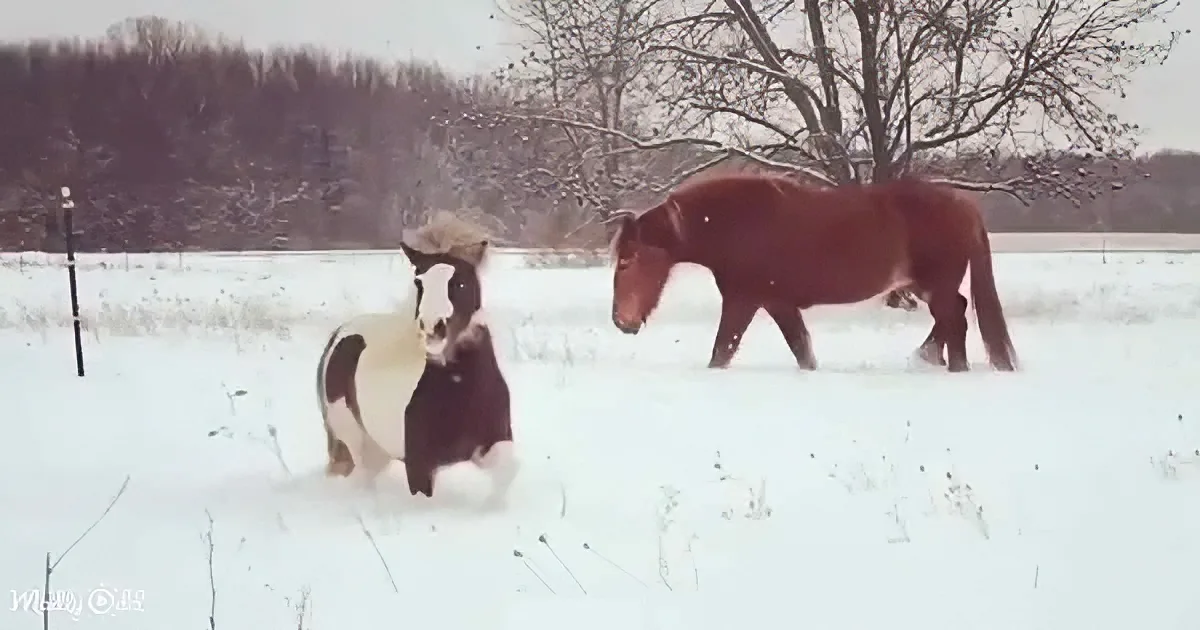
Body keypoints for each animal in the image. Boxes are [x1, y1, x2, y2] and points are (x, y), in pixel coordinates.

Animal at [316, 211, 517, 503]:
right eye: (419, 282)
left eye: (460, 282)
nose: (432, 326)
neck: (458, 386)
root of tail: (340, 333)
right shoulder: (418, 463)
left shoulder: (492, 442)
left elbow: (507, 475)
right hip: (352, 433)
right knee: (361, 475)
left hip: (377, 446)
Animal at [606, 172, 1018, 373]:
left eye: (626, 261)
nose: (621, 322)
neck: (739, 225)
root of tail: (965, 205)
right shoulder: (779, 304)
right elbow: (802, 351)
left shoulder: (745, 301)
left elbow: (722, 351)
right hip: (927, 286)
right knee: (953, 317)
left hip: (936, 285)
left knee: (955, 321)